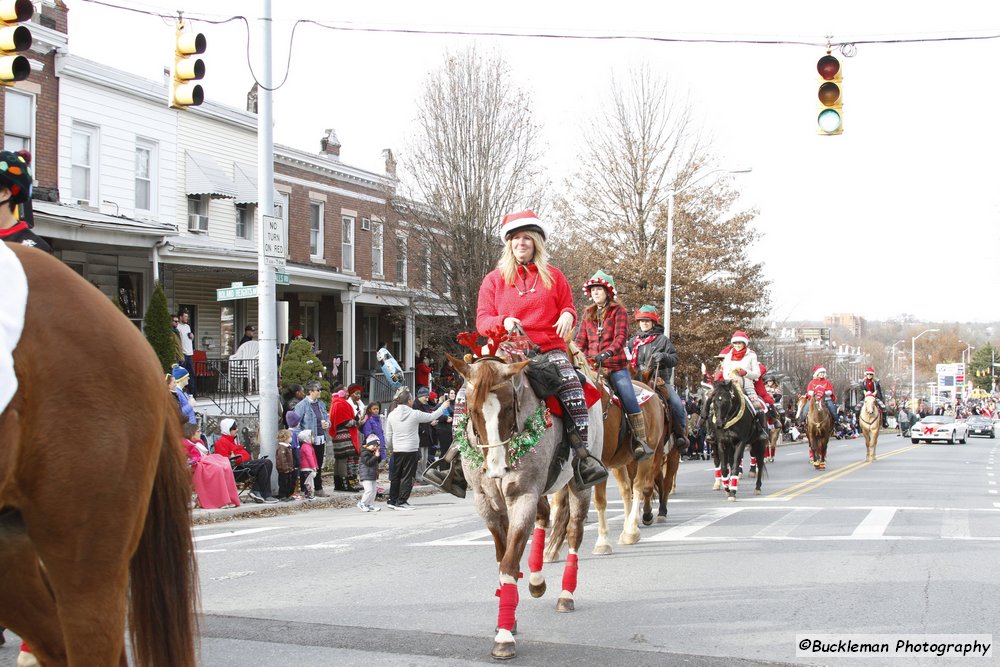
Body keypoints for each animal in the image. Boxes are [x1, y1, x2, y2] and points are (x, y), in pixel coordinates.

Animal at [452, 352, 600, 660]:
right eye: (472, 410)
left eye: (510, 407)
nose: (496, 469)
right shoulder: (487, 505)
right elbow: (502, 558)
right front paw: (508, 621)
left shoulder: (522, 498)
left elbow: (509, 563)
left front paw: (504, 637)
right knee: (544, 518)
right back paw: (536, 580)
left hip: (579, 486)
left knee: (573, 532)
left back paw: (566, 594)